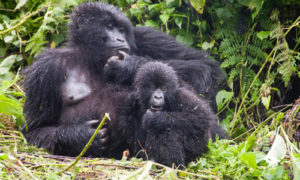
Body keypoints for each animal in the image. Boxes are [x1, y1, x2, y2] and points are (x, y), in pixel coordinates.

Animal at [22, 2, 223, 158]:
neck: (91, 58)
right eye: (109, 26)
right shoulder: (46, 69)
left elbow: (203, 67)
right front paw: (82, 137)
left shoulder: (144, 36)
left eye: (122, 30)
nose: (120, 39)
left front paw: (129, 66)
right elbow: (34, 130)